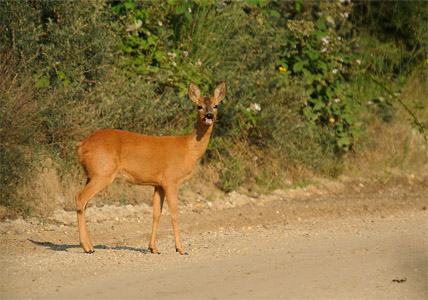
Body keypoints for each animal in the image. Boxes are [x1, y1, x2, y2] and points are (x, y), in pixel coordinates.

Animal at [75, 81, 226, 254]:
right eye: (199, 106)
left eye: (215, 105)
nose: (209, 116)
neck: (189, 149)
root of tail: (81, 145)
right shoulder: (171, 180)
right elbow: (174, 213)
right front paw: (181, 249)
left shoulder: (158, 184)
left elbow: (156, 213)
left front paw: (153, 248)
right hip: (102, 173)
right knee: (80, 198)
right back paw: (86, 247)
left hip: (91, 174)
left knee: (85, 203)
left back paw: (91, 246)